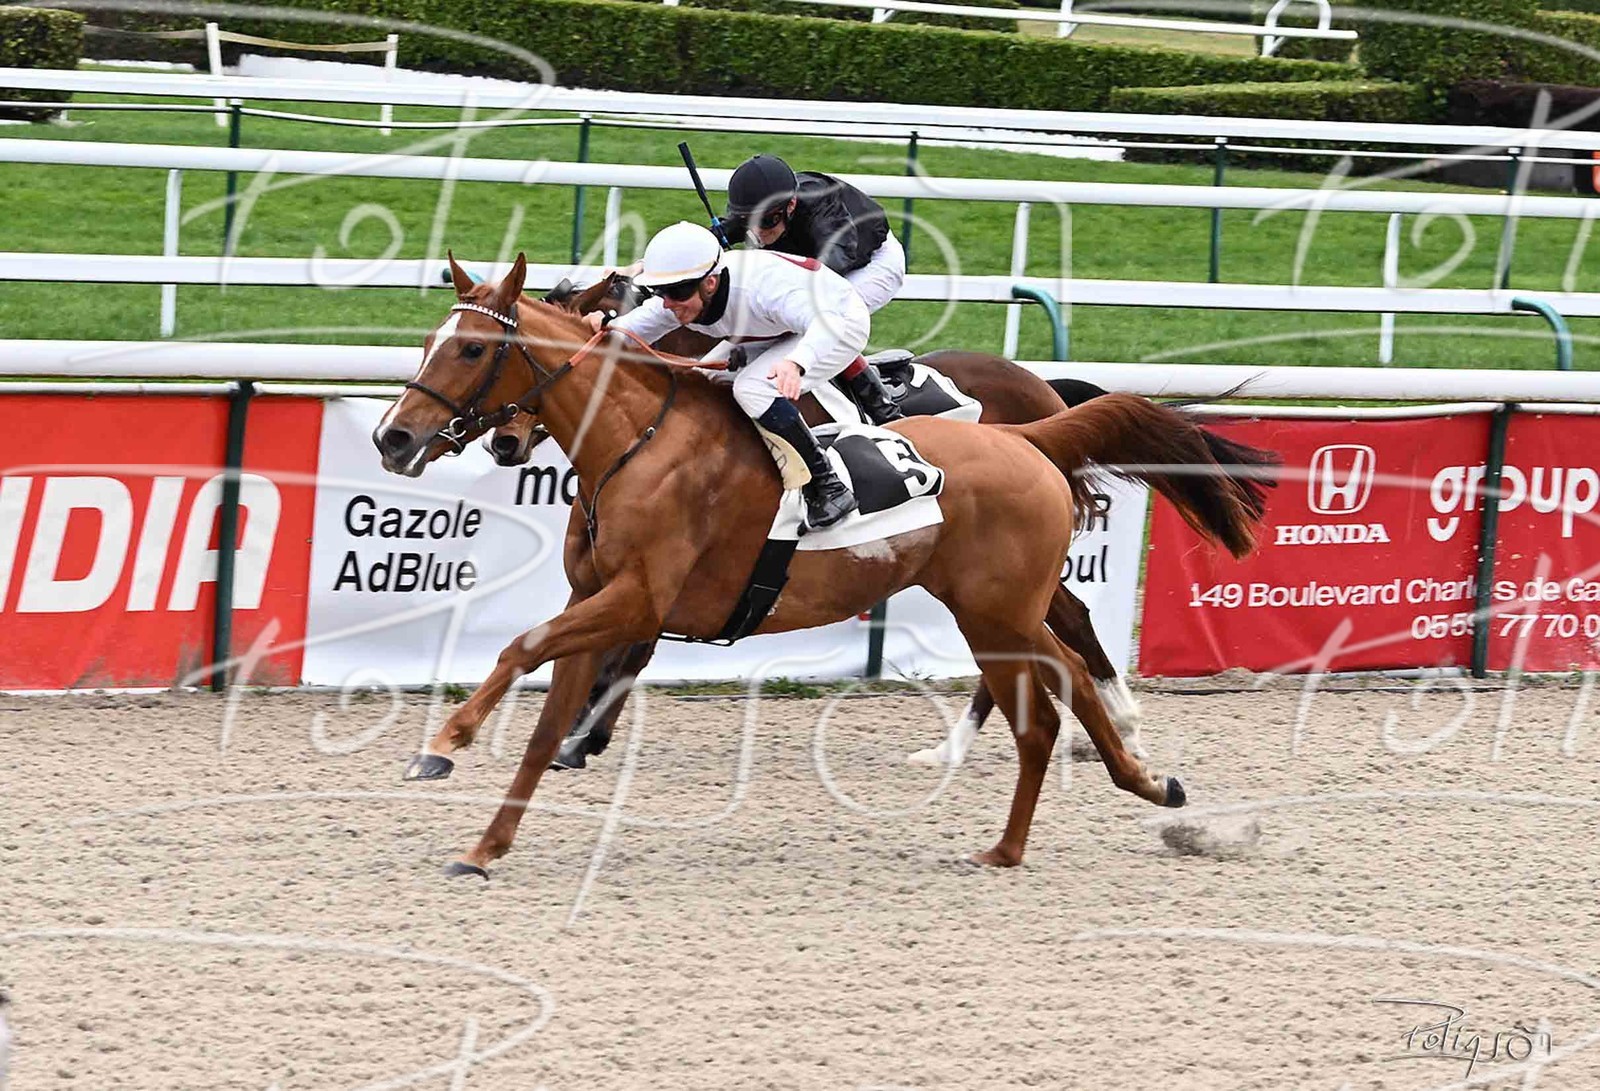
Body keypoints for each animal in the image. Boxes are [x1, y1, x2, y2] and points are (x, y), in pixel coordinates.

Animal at [373, 253, 1273, 875]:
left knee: (1060, 684)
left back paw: (1088, 784)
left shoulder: (638, 599)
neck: (637, 443)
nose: (393, 437)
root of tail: (1028, 434)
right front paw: (486, 844)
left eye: (473, 349)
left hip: (997, 609)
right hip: (995, 608)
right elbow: (544, 719)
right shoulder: (596, 600)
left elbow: (520, 646)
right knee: (1058, 694)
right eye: (428, 341)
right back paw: (1089, 807)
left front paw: (446, 739)